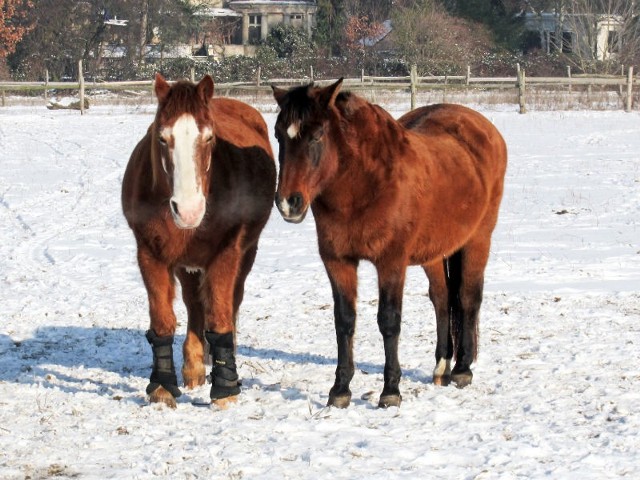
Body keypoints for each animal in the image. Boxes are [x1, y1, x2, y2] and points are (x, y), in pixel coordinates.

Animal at [122, 75, 276, 408]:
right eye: (162, 138)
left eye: (208, 138)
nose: (189, 210)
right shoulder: (151, 255)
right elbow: (163, 321)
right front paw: (163, 387)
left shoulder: (226, 254)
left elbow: (219, 317)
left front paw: (225, 389)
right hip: (186, 264)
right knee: (194, 305)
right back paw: (194, 368)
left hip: (245, 254)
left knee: (230, 303)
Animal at [272, 79, 508, 408]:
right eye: (278, 134)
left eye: (317, 134)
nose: (288, 203)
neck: (363, 186)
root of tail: (484, 128)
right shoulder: (337, 261)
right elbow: (344, 321)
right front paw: (340, 390)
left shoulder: (391, 261)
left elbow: (389, 320)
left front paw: (391, 391)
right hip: (434, 253)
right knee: (442, 298)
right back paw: (441, 368)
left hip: (478, 239)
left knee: (468, 297)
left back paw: (462, 369)